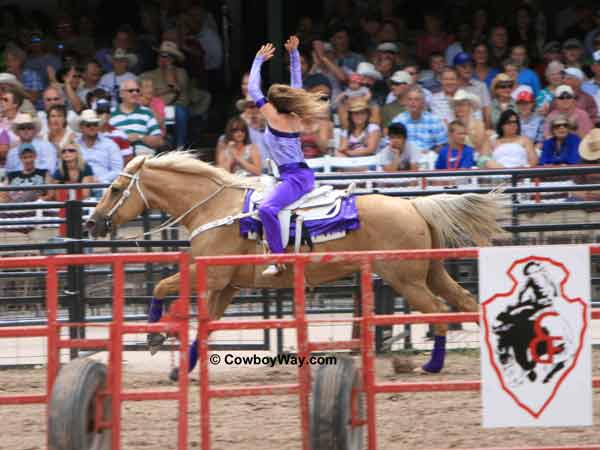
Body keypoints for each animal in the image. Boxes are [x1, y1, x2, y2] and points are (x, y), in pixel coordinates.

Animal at [85, 152, 506, 372]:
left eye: (116, 189)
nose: (92, 222)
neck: (215, 209)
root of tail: (414, 205)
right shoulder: (227, 287)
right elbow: (204, 327)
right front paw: (181, 368)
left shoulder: (212, 276)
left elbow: (161, 287)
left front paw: (154, 337)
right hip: (430, 273)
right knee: (464, 302)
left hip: (408, 280)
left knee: (439, 311)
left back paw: (431, 366)